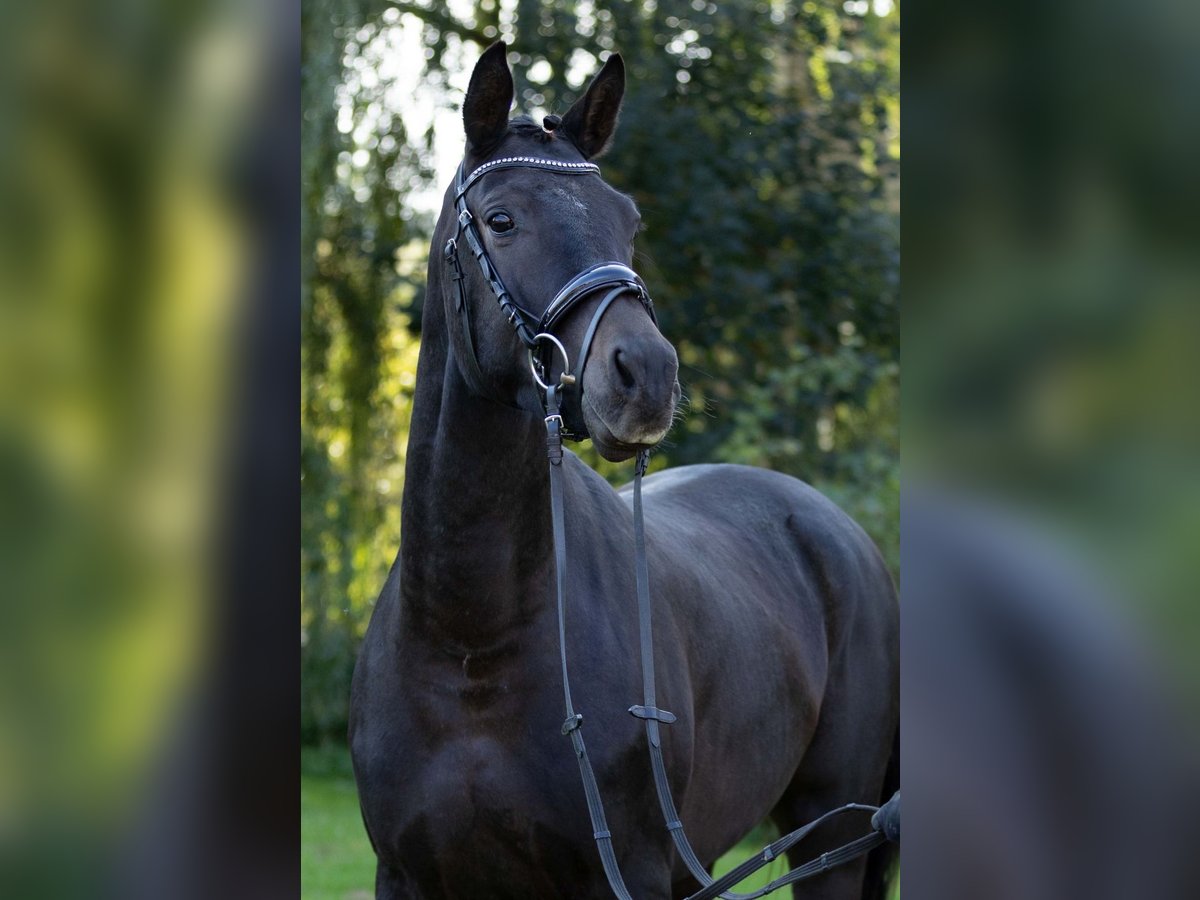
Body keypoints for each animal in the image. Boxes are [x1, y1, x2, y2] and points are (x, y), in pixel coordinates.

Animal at [350, 44, 897, 900]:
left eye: (627, 221)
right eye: (501, 220)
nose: (647, 373)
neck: (470, 644)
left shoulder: (628, 872)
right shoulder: (407, 877)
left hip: (832, 831)